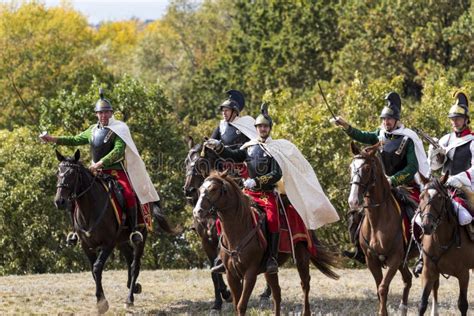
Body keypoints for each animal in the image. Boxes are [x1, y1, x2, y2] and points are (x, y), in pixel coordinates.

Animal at [53, 149, 175, 312]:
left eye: (73, 173)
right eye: (58, 172)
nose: (59, 201)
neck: (90, 208)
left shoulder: (108, 243)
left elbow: (97, 268)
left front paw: (102, 303)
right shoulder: (87, 246)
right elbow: (93, 270)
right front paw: (101, 300)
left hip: (140, 236)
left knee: (135, 265)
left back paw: (129, 298)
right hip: (121, 241)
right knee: (129, 259)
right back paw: (133, 287)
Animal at [182, 137, 232, 310]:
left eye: (201, 163)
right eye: (186, 162)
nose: (188, 191)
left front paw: (227, 293)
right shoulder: (206, 241)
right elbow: (213, 270)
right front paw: (219, 300)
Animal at [193, 173, 340, 316]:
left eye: (213, 189)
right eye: (200, 189)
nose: (197, 211)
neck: (239, 230)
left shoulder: (250, 274)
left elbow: (241, 306)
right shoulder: (231, 275)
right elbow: (236, 304)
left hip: (301, 257)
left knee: (305, 285)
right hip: (269, 271)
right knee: (277, 294)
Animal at [348, 143, 418, 316]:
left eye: (367, 168)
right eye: (350, 167)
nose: (353, 201)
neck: (378, 220)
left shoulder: (394, 259)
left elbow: (383, 288)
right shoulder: (371, 260)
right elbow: (379, 289)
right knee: (408, 279)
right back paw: (403, 309)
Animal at [418, 174, 474, 314]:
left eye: (439, 198)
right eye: (421, 197)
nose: (427, 226)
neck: (441, 240)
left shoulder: (463, 274)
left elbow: (462, 304)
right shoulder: (428, 272)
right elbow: (422, 304)